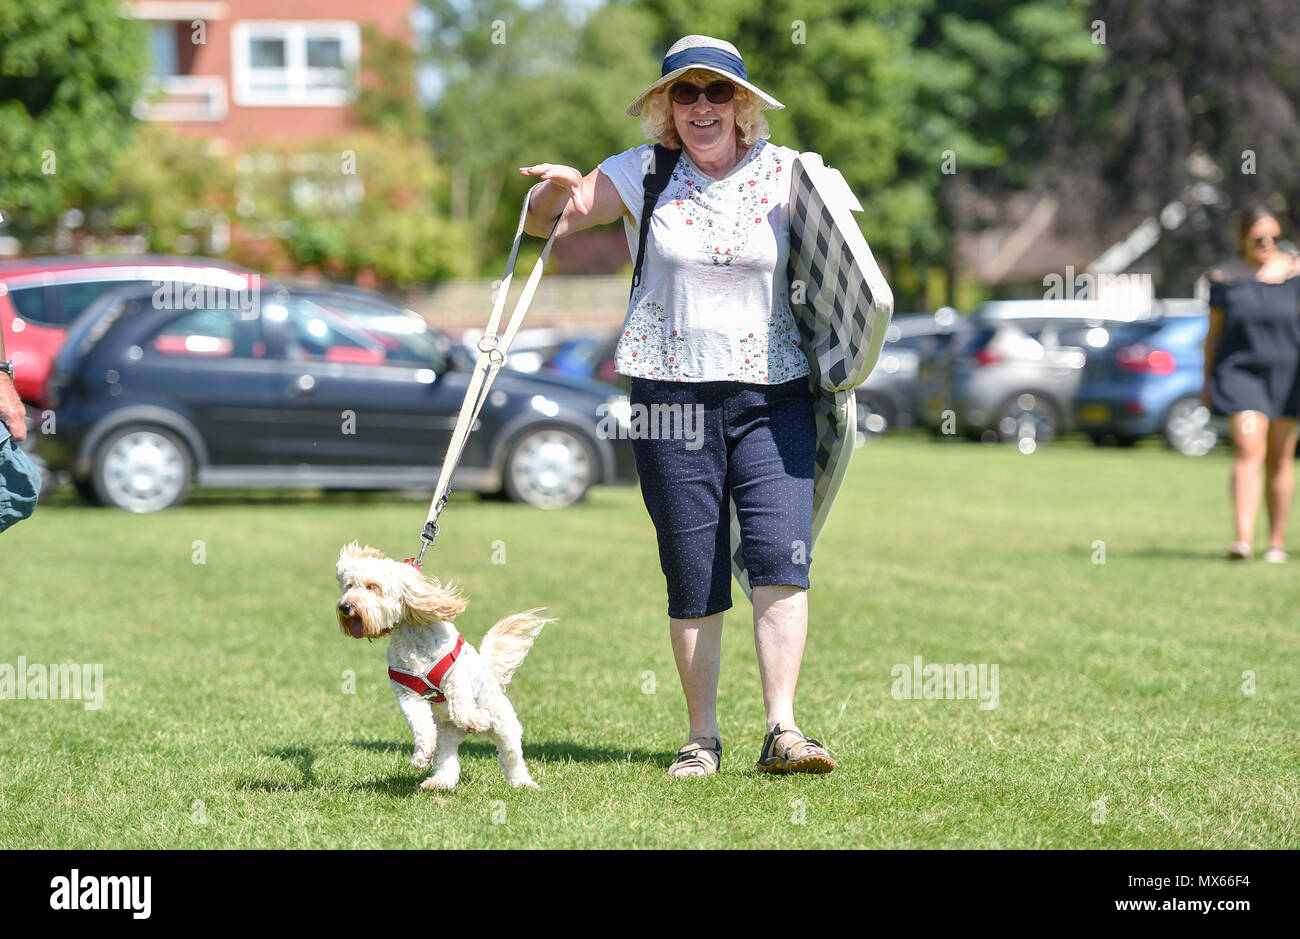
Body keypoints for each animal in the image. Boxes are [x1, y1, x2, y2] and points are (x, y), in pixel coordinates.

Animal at [332, 541, 551, 790]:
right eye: (348, 586)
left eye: (372, 586)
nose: (345, 606)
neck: (414, 638)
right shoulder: (406, 693)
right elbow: (419, 724)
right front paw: (421, 755)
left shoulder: (456, 676)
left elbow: (460, 704)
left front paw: (474, 720)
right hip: (445, 734)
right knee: (447, 759)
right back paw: (439, 782)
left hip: (504, 723)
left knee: (511, 755)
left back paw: (522, 782)